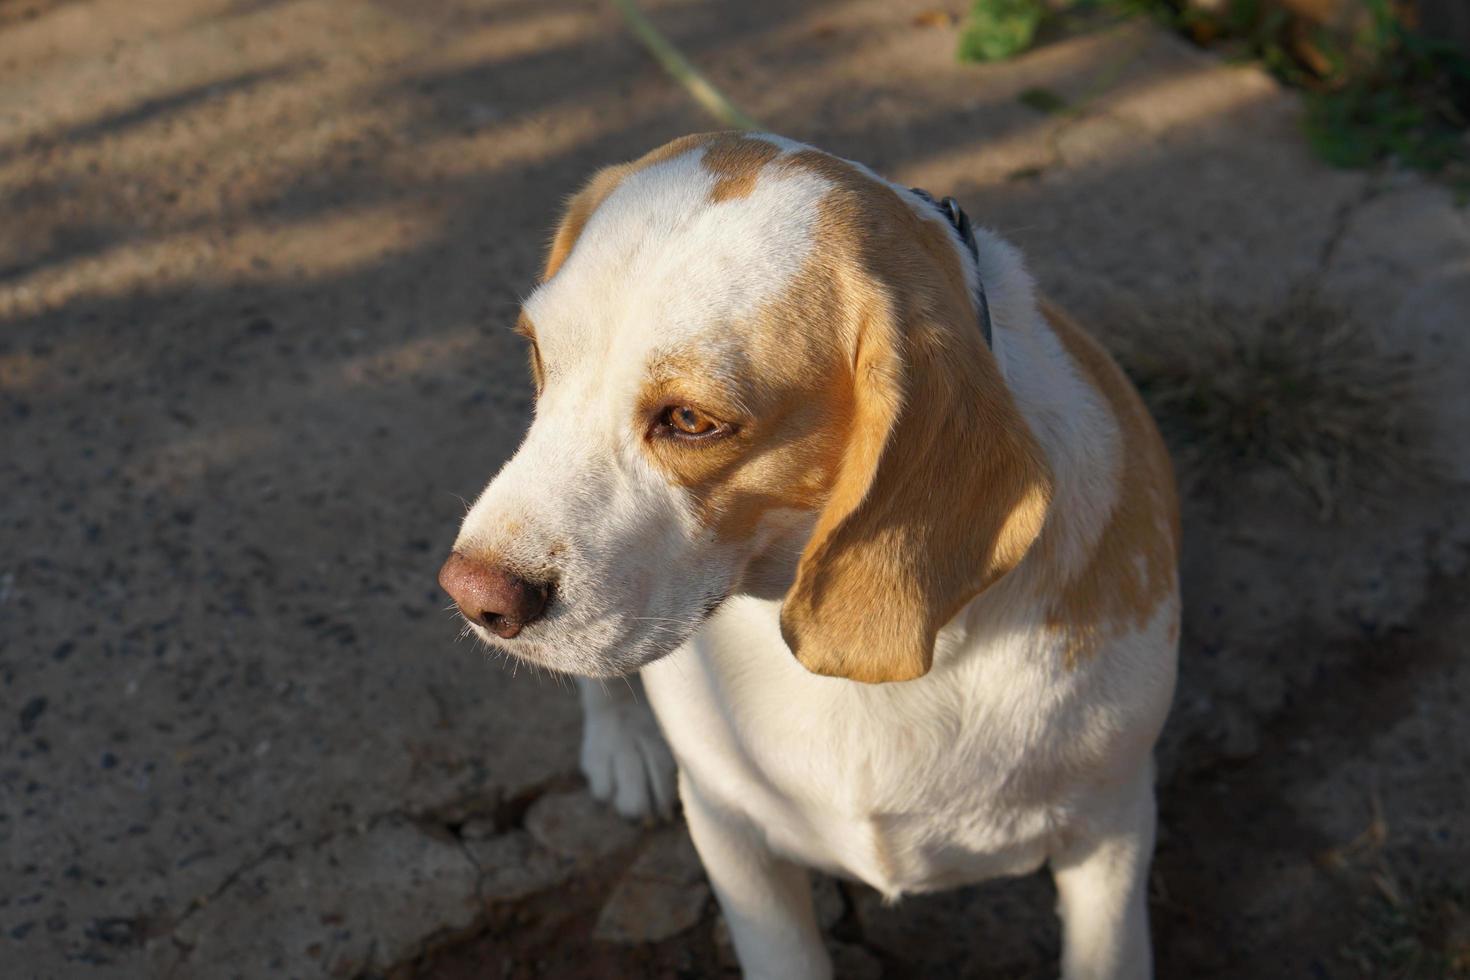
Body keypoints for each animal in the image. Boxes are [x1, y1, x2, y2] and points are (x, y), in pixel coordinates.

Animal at [438, 132, 1181, 980]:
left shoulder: (1113, 830)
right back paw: (622, 742)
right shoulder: (729, 827)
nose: (470, 593)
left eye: (692, 420)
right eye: (538, 357)